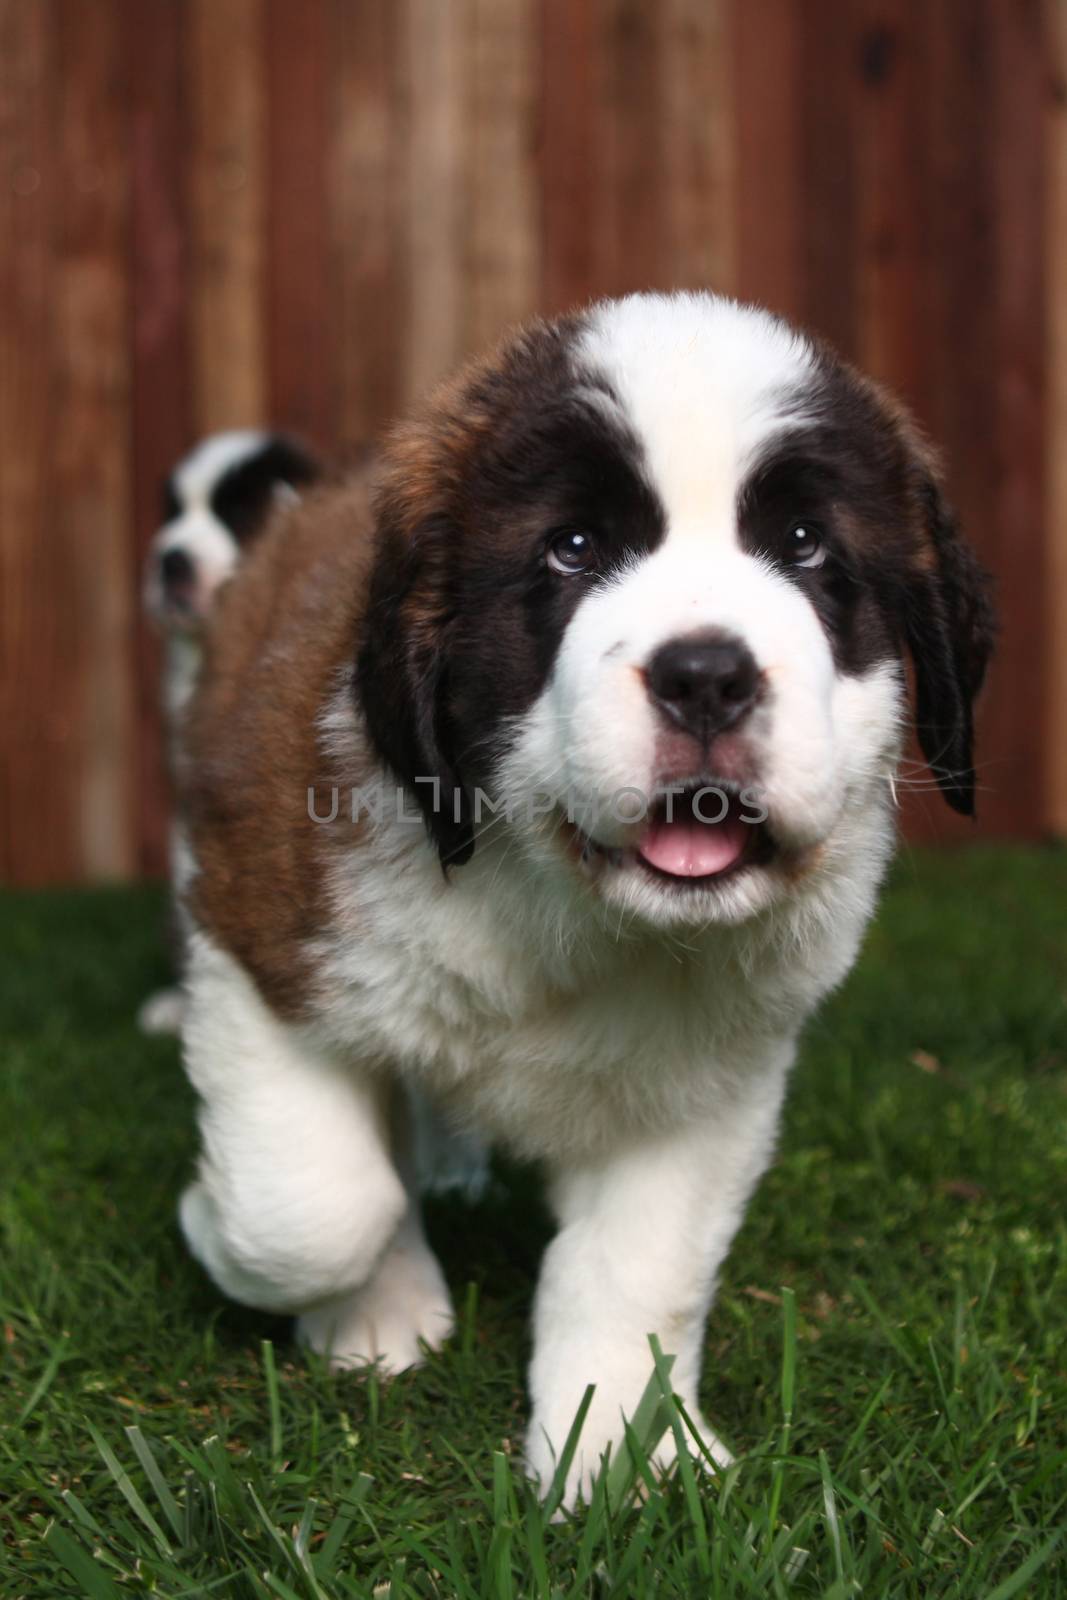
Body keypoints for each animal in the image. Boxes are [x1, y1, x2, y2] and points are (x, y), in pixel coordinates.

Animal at [175, 294, 991, 1504]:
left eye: (804, 545)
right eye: (572, 548)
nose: (705, 675)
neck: (560, 892)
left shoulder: (712, 1080)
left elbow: (635, 1266)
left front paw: (617, 1448)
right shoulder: (257, 935)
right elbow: (309, 1210)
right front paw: (325, 1284)